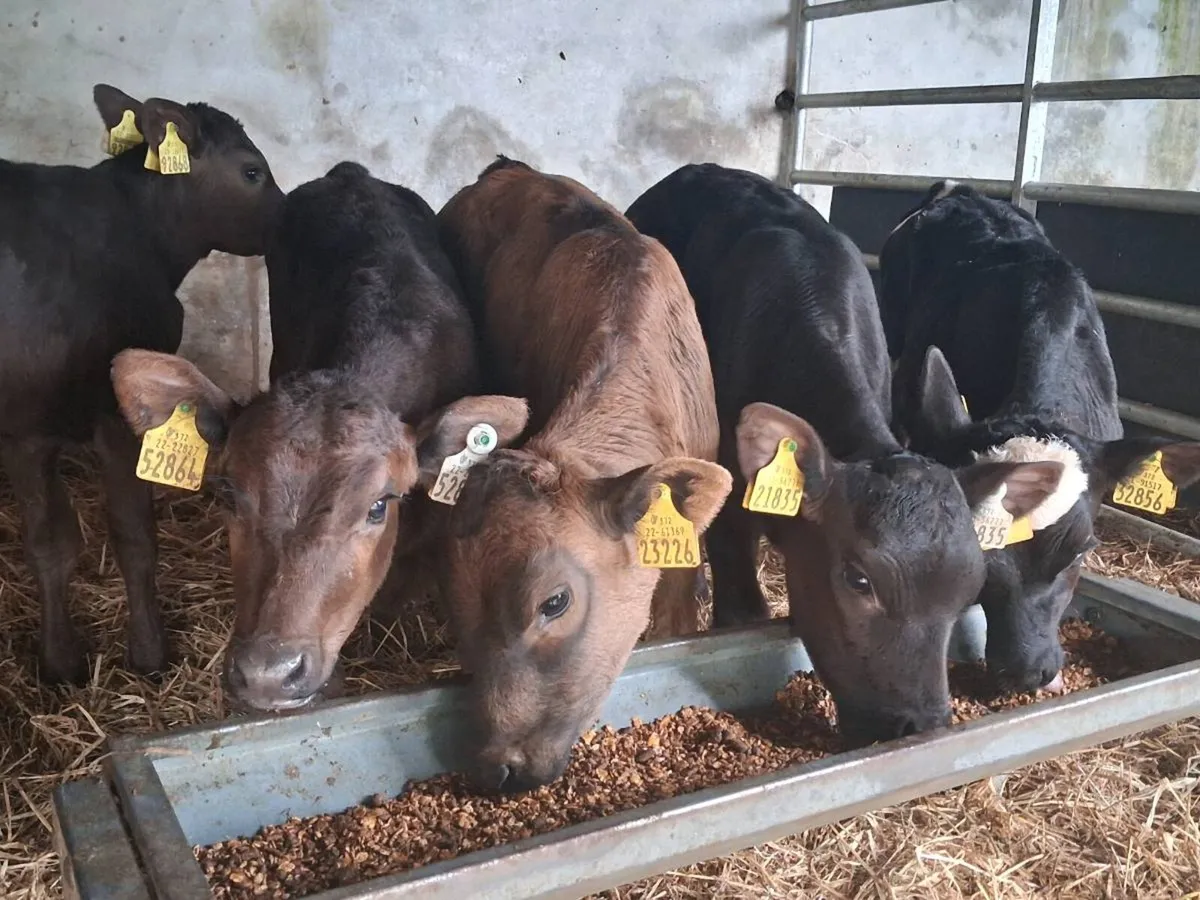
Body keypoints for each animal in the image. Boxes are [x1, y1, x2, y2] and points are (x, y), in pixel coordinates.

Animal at [0, 84, 283, 684]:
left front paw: (59, 661)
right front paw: (149, 654)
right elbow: (130, 537)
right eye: (252, 170)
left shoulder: (23, 429)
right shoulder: (105, 415)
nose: (291, 216)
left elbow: (47, 542)